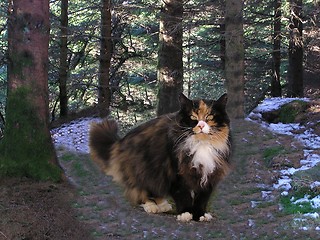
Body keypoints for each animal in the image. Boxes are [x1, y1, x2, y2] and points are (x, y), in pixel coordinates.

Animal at [89, 93, 231, 222]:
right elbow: (183, 196)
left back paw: (163, 205)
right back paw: (151, 206)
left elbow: (202, 199)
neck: (201, 144)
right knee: (140, 190)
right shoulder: (175, 173)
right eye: (193, 116)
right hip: (143, 169)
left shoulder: (209, 174)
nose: (201, 125)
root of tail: (121, 140)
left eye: (210, 116)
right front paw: (185, 214)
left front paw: (200, 215)